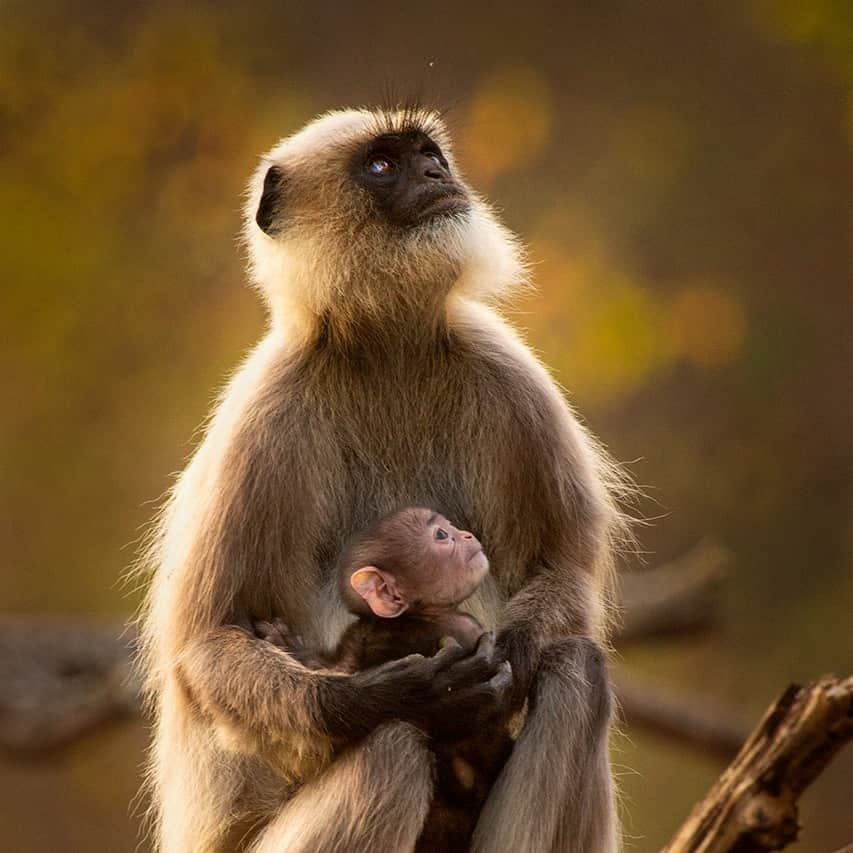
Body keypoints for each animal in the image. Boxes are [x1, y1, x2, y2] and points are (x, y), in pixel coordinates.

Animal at [256, 506, 512, 852]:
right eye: (441, 535)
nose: (467, 535)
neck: (416, 619)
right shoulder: (465, 628)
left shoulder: (361, 637)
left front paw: (289, 646)